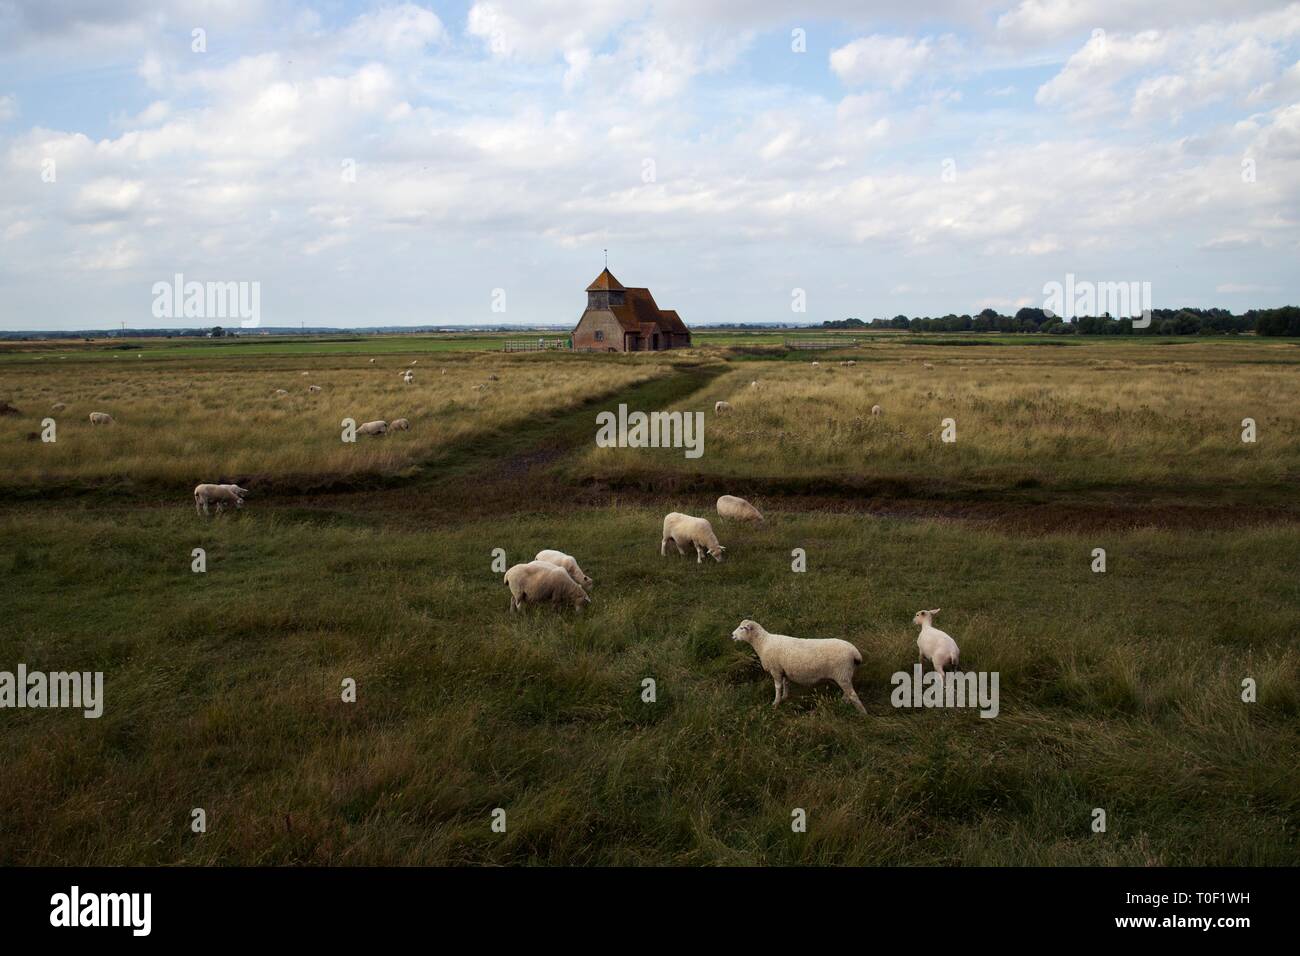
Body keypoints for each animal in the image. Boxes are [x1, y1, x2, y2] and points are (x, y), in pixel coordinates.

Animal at [733, 624, 863, 712]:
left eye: (742, 628)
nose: (732, 635)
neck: (763, 643)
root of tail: (855, 653)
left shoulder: (776, 670)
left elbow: (778, 687)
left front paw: (775, 703)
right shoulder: (783, 670)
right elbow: (785, 684)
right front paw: (784, 697)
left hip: (842, 673)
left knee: (853, 695)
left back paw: (863, 714)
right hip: (845, 675)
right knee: (847, 694)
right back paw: (842, 704)